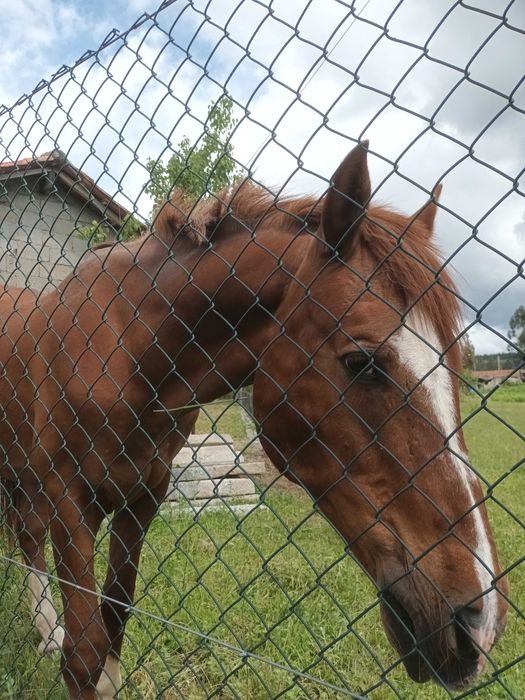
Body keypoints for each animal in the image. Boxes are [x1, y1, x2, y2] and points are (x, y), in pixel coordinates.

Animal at [0, 143, 508, 698]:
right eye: (361, 361)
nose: (478, 624)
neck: (126, 346)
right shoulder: (69, 498)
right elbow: (85, 650)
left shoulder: (143, 495)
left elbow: (114, 618)